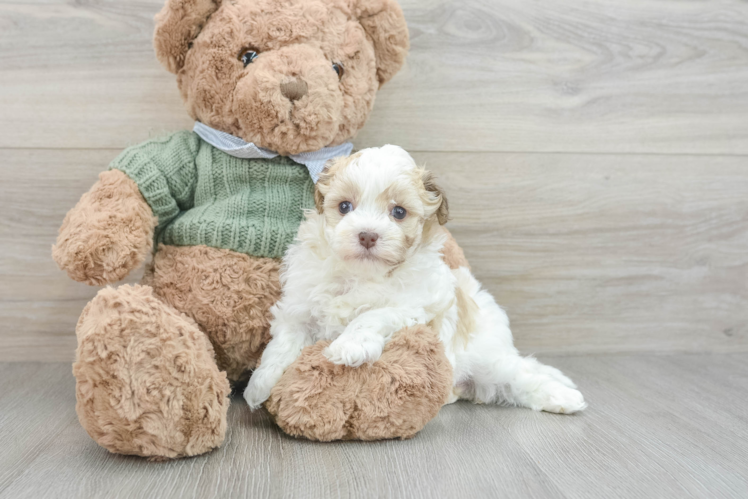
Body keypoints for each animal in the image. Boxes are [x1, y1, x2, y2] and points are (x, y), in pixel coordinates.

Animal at [248, 145, 588, 414]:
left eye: (398, 212)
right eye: (344, 206)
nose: (367, 235)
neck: (361, 274)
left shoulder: (417, 305)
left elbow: (372, 315)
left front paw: (350, 345)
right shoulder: (299, 310)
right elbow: (283, 343)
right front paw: (260, 384)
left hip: (487, 358)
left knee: (519, 376)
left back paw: (564, 397)